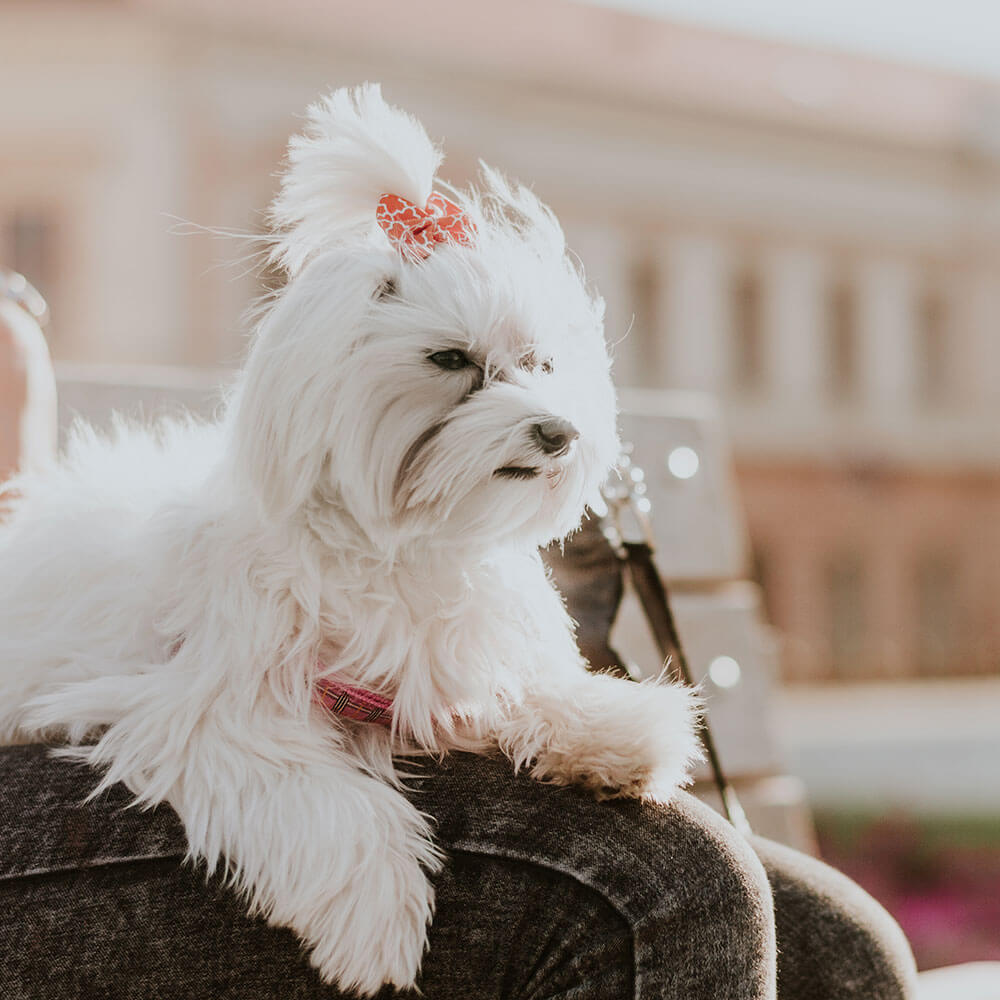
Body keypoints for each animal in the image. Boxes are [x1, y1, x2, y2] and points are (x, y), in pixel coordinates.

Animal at [0, 84, 700, 992]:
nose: (560, 432)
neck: (400, 541)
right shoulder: (208, 710)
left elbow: (521, 686)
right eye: (450, 359)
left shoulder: (440, 660)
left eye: (540, 363)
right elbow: (321, 797)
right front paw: (377, 919)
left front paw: (611, 729)